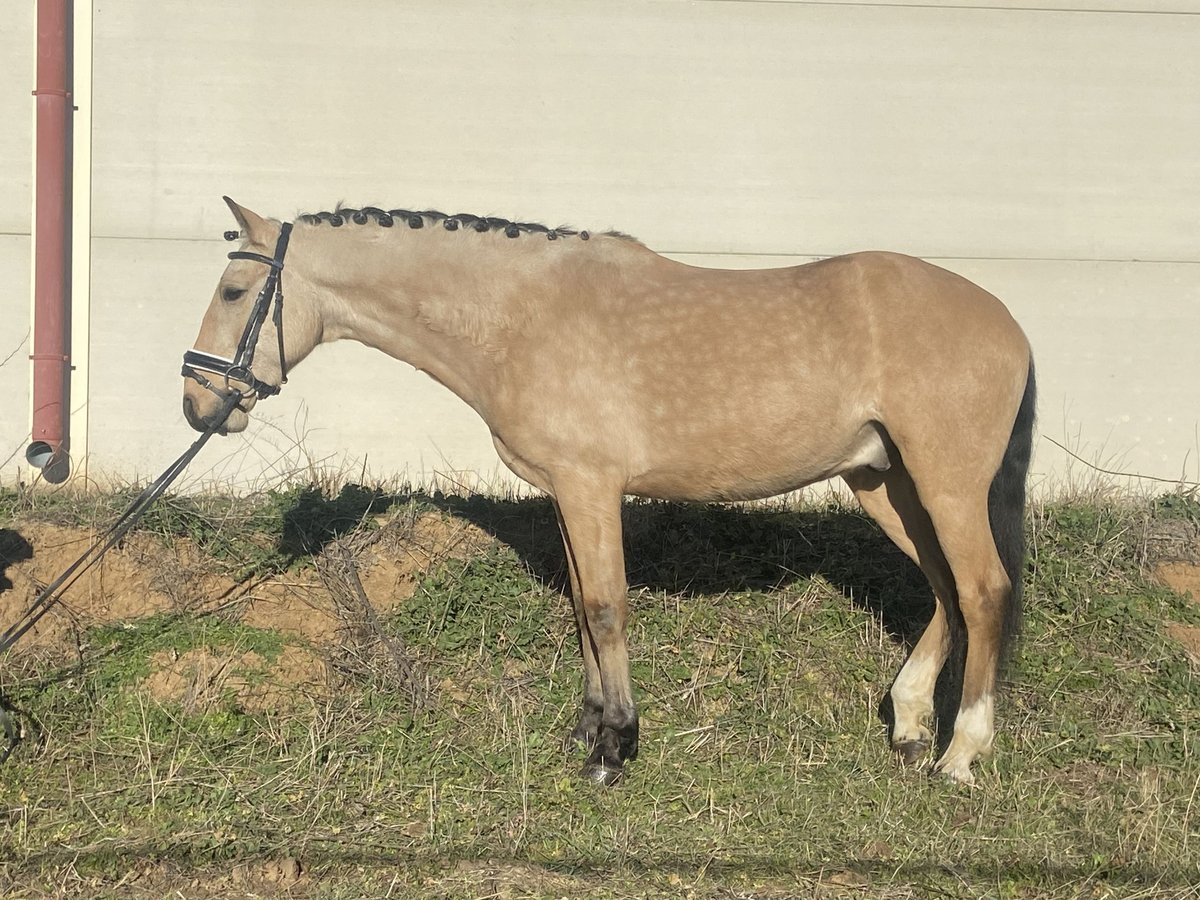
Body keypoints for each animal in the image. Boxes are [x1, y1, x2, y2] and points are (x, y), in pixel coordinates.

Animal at [182, 199, 1036, 787]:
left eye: (233, 291)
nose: (196, 404)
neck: (520, 317)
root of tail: (1009, 322)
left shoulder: (591, 486)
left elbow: (604, 609)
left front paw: (615, 749)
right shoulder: (567, 493)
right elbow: (580, 612)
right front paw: (587, 732)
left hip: (945, 484)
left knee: (983, 590)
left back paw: (960, 757)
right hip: (885, 483)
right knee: (946, 589)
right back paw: (911, 724)